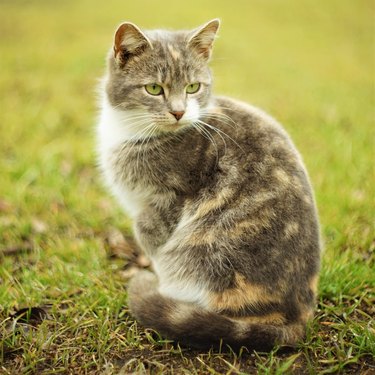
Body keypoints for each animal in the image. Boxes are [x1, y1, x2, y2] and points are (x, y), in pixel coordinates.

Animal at [97, 18, 320, 352]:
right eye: (154, 88)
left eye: (193, 87)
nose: (179, 112)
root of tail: (296, 320)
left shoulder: (167, 202)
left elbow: (150, 234)